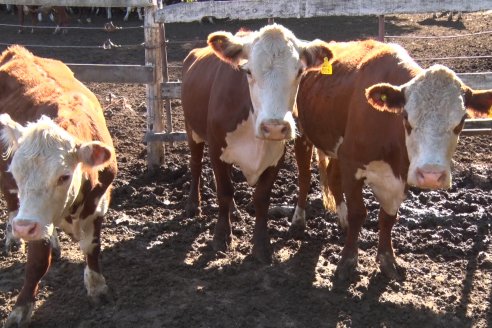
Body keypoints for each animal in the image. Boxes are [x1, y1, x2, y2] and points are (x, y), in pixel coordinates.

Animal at [0, 45, 117, 326]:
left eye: (63, 176)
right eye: (16, 172)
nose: (24, 227)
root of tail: (17, 51)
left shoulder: (99, 203)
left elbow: (92, 247)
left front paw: (97, 287)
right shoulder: (33, 216)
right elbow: (37, 262)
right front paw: (21, 309)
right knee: (11, 204)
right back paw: (13, 236)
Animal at [182, 23, 334, 262]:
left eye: (299, 72)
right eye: (248, 71)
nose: (274, 126)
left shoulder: (276, 155)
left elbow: (262, 198)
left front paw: (261, 245)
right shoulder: (216, 148)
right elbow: (224, 191)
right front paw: (221, 237)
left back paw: (235, 211)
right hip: (192, 130)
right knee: (196, 165)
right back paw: (193, 205)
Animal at [292, 38, 492, 280]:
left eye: (461, 121)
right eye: (405, 117)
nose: (431, 175)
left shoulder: (400, 174)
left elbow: (388, 217)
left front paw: (388, 260)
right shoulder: (352, 162)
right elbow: (359, 213)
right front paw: (348, 260)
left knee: (332, 177)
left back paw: (342, 218)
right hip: (302, 133)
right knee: (304, 176)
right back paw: (298, 219)